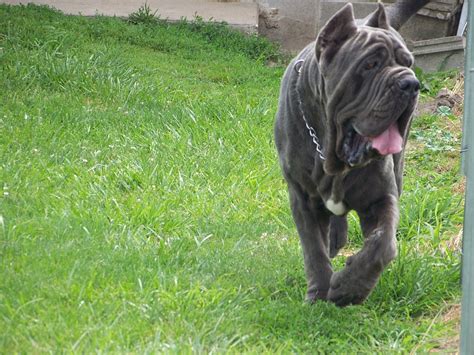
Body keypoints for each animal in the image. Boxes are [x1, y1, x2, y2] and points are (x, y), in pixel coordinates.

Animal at [274, 0, 430, 308]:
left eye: (408, 63)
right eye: (369, 65)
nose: (410, 83)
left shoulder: (381, 197)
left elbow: (382, 245)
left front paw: (349, 288)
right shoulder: (302, 199)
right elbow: (314, 249)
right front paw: (318, 293)